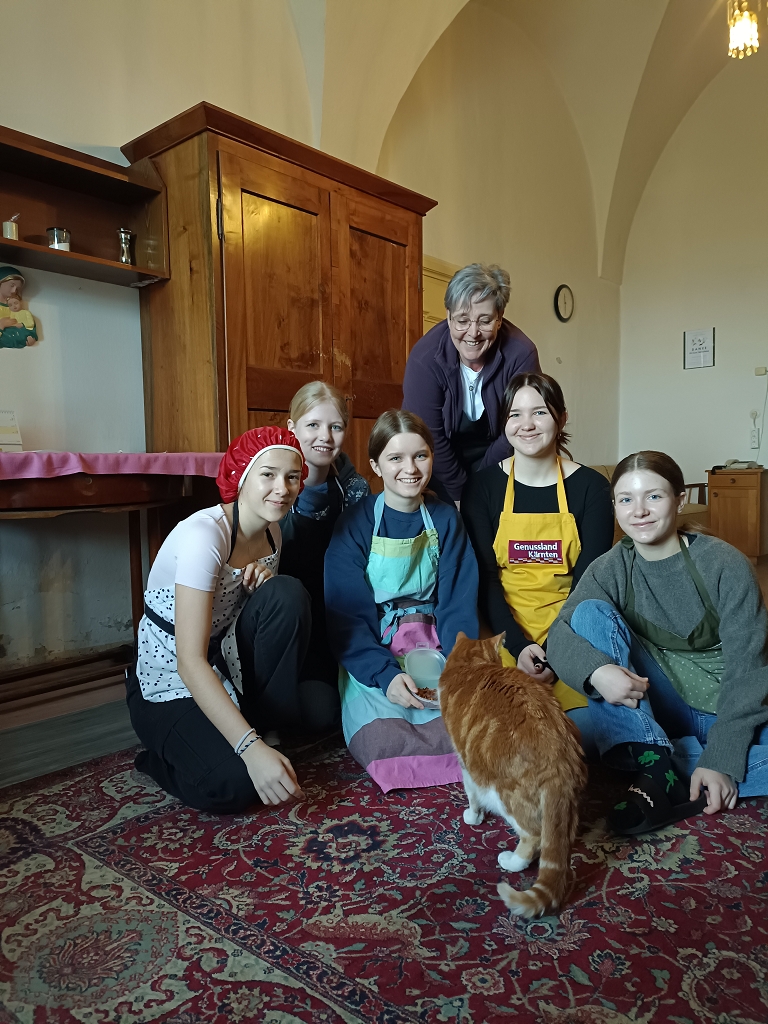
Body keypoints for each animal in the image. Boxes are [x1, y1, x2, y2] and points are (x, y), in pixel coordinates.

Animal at [439, 632, 587, 919]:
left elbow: (471, 794)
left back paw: (512, 861)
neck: (472, 666)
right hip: (567, 811)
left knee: (533, 837)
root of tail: (561, 761)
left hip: (503, 796)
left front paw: (473, 817)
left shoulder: (465, 761)